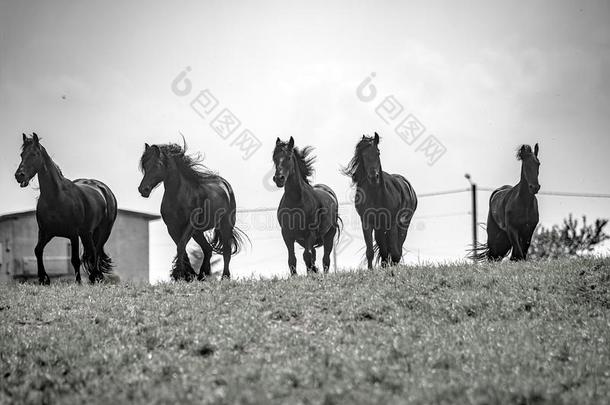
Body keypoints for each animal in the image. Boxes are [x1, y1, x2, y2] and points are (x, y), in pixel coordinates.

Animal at [14, 133, 117, 284]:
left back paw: (94, 277)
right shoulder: (45, 232)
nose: (19, 175)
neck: (56, 198)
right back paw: (95, 277)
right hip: (86, 233)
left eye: (34, 154)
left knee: (96, 252)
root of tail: (104, 189)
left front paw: (78, 283)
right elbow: (38, 250)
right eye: (22, 154)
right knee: (92, 252)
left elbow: (75, 260)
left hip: (104, 231)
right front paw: (44, 279)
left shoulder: (73, 234)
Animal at [138, 140, 245, 280]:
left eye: (157, 164)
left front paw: (180, 275)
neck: (178, 195)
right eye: (145, 165)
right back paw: (202, 275)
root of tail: (226, 186)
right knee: (208, 249)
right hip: (198, 232)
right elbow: (181, 248)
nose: (143, 189)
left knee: (226, 250)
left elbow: (181, 246)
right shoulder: (172, 227)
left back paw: (224, 278)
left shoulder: (190, 224)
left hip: (225, 225)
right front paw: (186, 275)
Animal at [272, 137, 340, 274]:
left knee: (325, 258)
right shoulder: (287, 234)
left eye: (288, 157)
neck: (296, 202)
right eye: (274, 158)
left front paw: (312, 273)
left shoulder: (310, 233)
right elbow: (292, 259)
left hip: (329, 235)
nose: (279, 178)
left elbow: (307, 256)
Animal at [342, 133, 418, 270]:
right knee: (384, 249)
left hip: (403, 225)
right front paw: (371, 270)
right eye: (363, 155)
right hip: (380, 228)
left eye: (378, 152)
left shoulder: (392, 223)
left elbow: (394, 251)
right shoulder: (367, 223)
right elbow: (370, 251)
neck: (376, 195)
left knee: (396, 248)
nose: (374, 177)